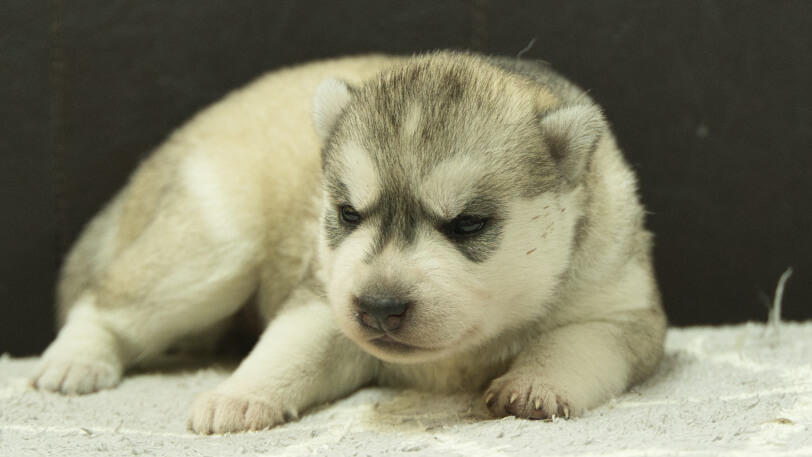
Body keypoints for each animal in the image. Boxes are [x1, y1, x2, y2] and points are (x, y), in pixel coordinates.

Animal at [31, 51, 668, 432]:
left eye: (467, 224)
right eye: (346, 213)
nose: (379, 307)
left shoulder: (622, 310)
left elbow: (576, 343)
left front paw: (535, 383)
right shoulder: (324, 296)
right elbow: (288, 347)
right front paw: (240, 394)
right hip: (214, 248)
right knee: (106, 302)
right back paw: (73, 360)